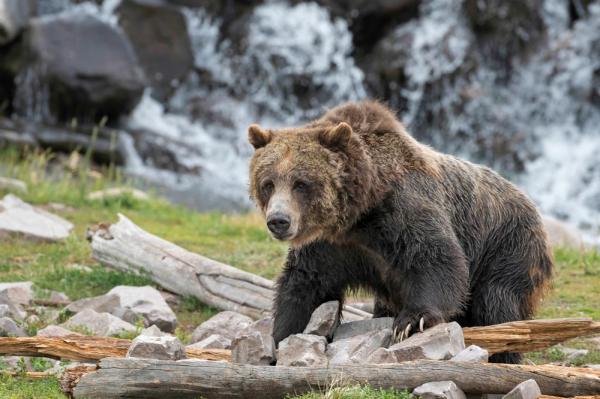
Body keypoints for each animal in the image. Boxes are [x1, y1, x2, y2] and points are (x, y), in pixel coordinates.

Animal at [247, 101, 552, 366]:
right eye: (268, 183)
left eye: (301, 183)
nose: (278, 220)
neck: (359, 214)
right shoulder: (331, 246)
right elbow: (305, 284)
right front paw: (281, 337)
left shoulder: (402, 211)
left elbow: (437, 258)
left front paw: (411, 321)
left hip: (507, 247)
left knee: (497, 303)